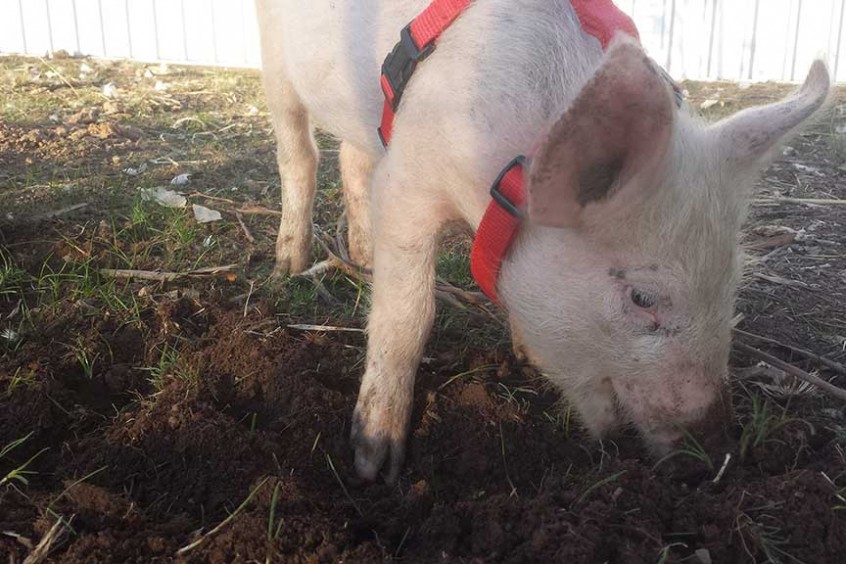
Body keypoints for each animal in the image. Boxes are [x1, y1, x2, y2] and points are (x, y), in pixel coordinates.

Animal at [255, 0, 832, 480]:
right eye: (643, 297)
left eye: (732, 289)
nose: (714, 456)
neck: (504, 173)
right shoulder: (407, 184)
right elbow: (408, 317)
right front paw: (374, 463)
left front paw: (526, 358)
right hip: (274, 55)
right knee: (299, 152)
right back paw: (290, 266)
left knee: (352, 159)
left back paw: (363, 260)